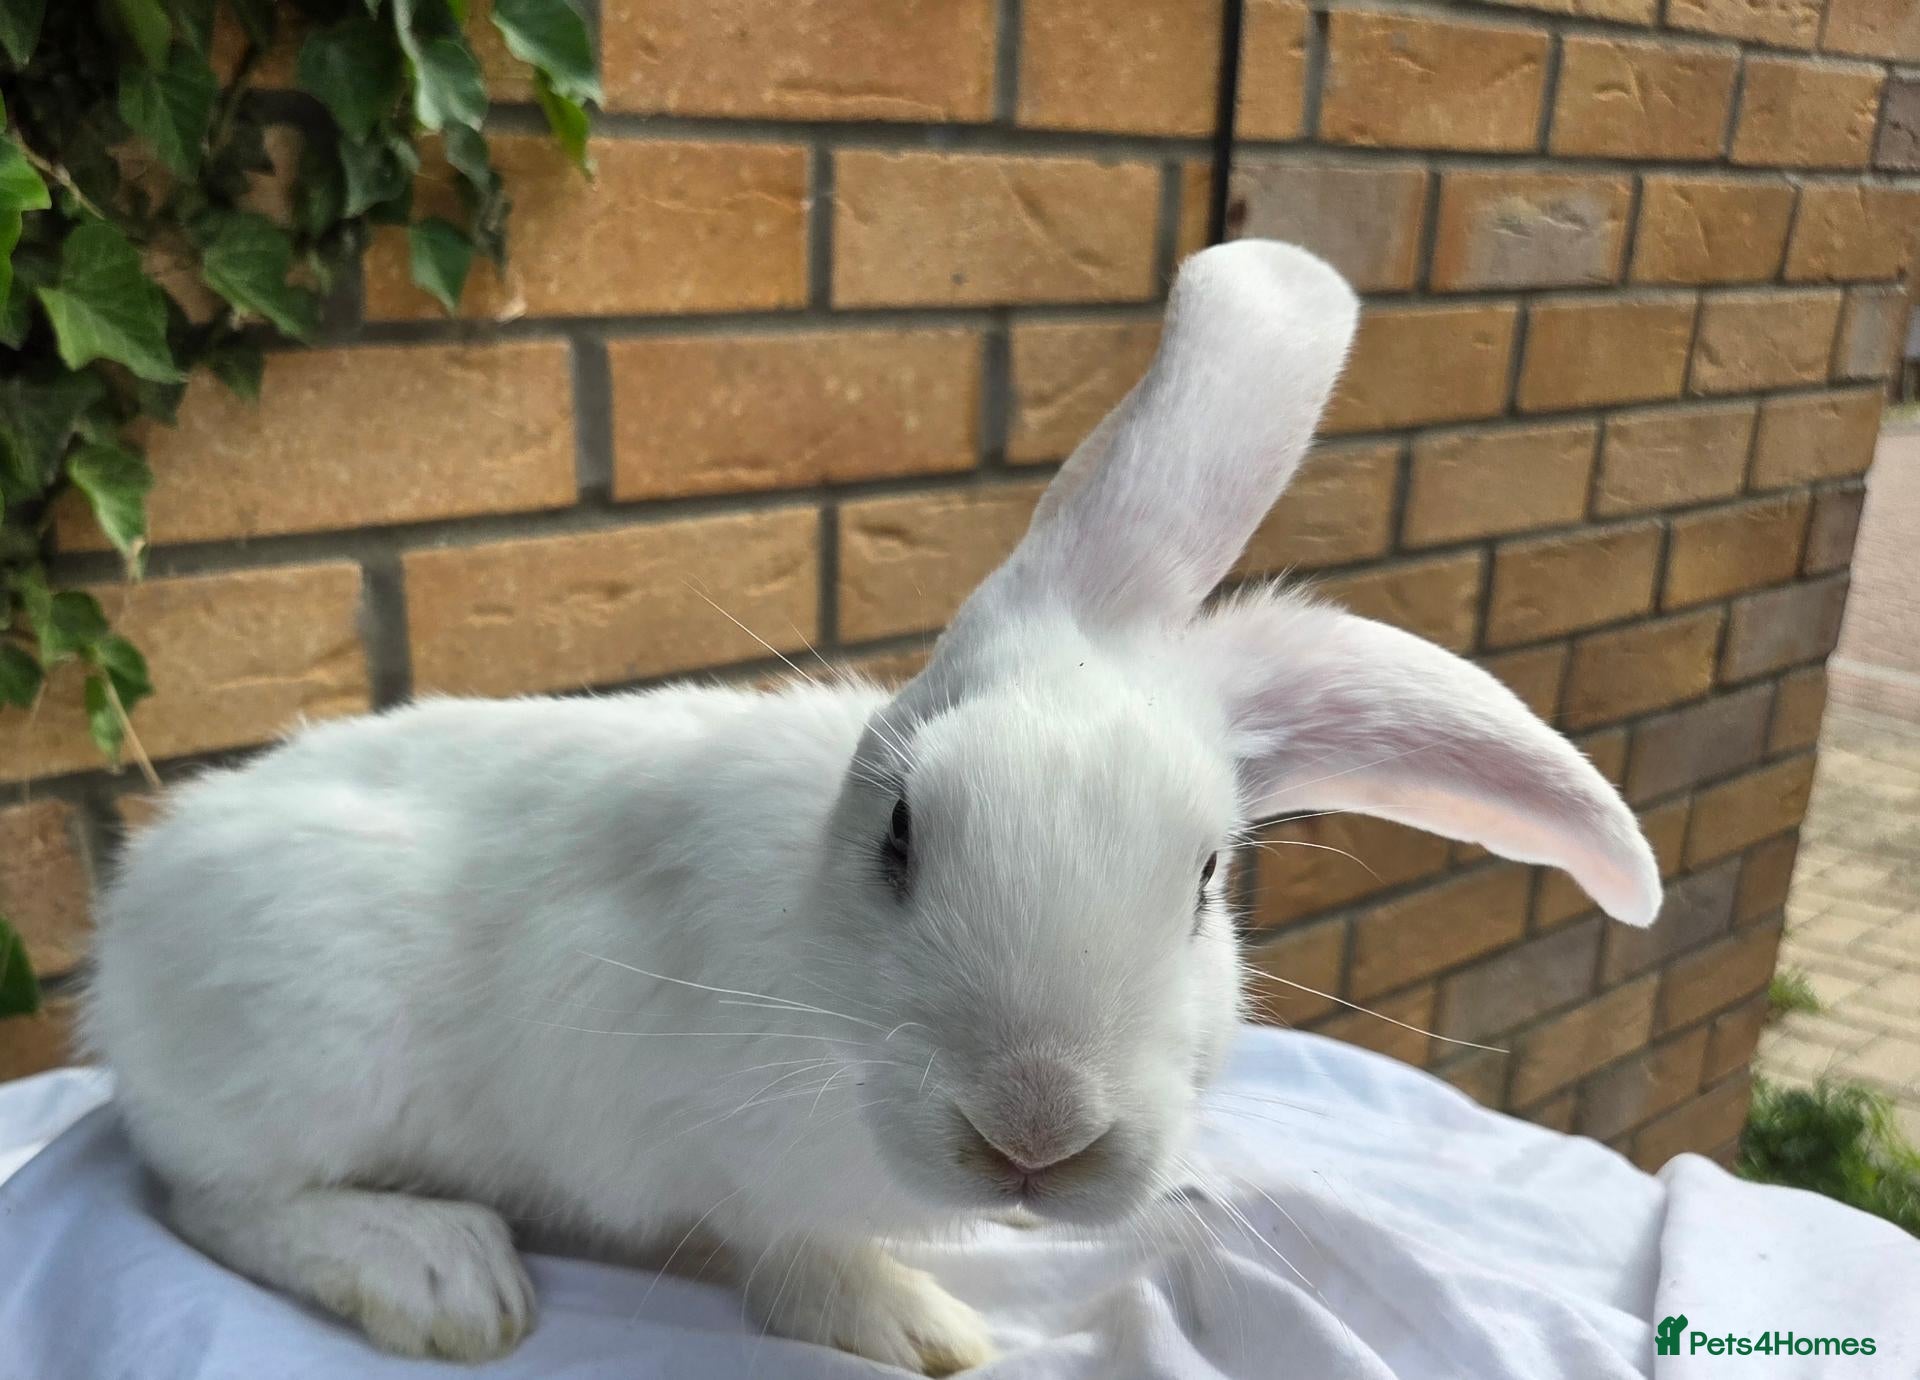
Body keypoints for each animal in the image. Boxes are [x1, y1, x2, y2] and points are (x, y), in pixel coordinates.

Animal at [82, 240, 1662, 1376]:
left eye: (1208, 878)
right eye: (903, 833)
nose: (1034, 1132)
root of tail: (134, 917)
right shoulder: (693, 1135)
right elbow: (791, 1249)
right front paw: (915, 1325)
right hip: (307, 1039)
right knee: (199, 1193)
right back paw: (438, 1273)